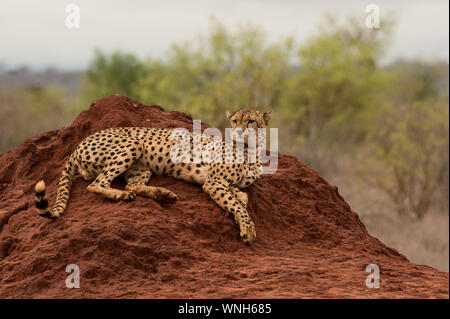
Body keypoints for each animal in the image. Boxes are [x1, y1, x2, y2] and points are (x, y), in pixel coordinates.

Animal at [33, 109, 272, 244]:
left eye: (251, 121)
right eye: (235, 120)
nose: (239, 131)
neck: (251, 149)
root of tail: (78, 144)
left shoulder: (220, 181)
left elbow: (241, 196)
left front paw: (240, 207)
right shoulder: (213, 181)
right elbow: (237, 203)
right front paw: (247, 228)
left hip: (142, 168)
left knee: (131, 186)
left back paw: (163, 195)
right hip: (133, 144)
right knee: (95, 184)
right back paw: (121, 196)